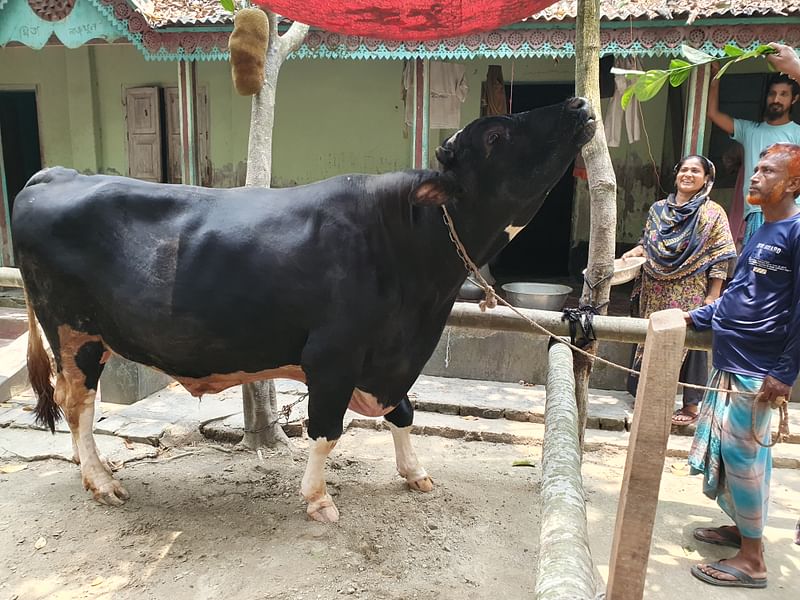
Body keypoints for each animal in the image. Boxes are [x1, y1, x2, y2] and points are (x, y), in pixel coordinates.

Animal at [10, 97, 592, 520]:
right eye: (495, 136)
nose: (580, 103)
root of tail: (56, 174)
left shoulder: (391, 358)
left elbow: (404, 412)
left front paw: (415, 473)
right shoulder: (333, 354)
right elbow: (326, 428)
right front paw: (318, 499)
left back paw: (93, 468)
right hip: (74, 334)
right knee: (77, 404)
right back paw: (101, 481)